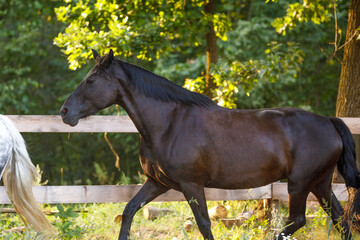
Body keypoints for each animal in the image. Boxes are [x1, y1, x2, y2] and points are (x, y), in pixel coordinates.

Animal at [59, 49, 360, 239]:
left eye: (91, 80)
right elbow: (129, 211)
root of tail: (329, 122)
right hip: (319, 183)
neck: (168, 124)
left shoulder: (192, 185)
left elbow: (204, 224)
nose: (64, 112)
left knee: (297, 220)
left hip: (299, 183)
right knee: (340, 219)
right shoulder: (158, 183)